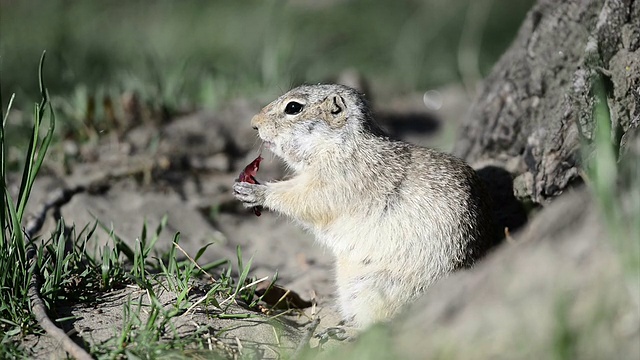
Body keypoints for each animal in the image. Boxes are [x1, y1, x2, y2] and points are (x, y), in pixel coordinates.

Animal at [235, 83, 500, 326]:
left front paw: (256, 191)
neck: (340, 146)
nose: (253, 123)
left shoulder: (337, 181)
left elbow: (304, 199)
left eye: (293, 108)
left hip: (375, 288)